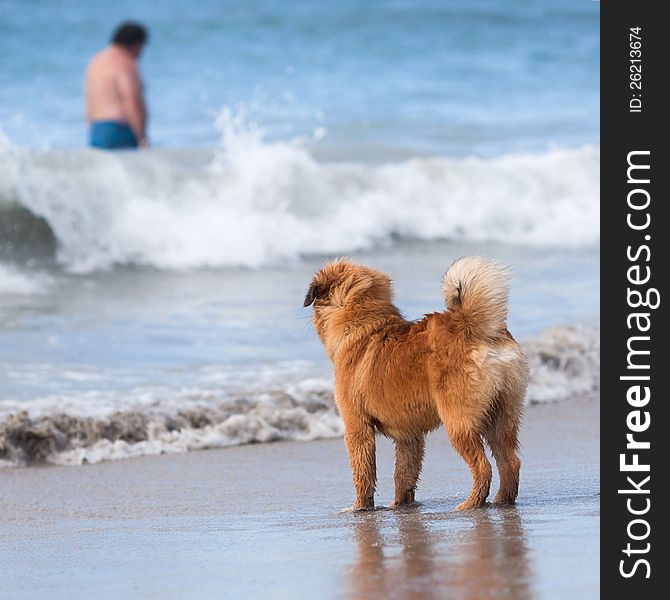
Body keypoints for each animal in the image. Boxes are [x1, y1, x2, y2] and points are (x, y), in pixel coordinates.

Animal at [304, 254, 532, 510]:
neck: (362, 326)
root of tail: (473, 326)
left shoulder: (357, 426)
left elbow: (363, 472)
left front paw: (360, 507)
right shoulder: (408, 435)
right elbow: (404, 473)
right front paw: (401, 504)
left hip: (459, 423)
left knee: (483, 466)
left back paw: (471, 503)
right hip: (502, 416)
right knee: (509, 462)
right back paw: (502, 499)